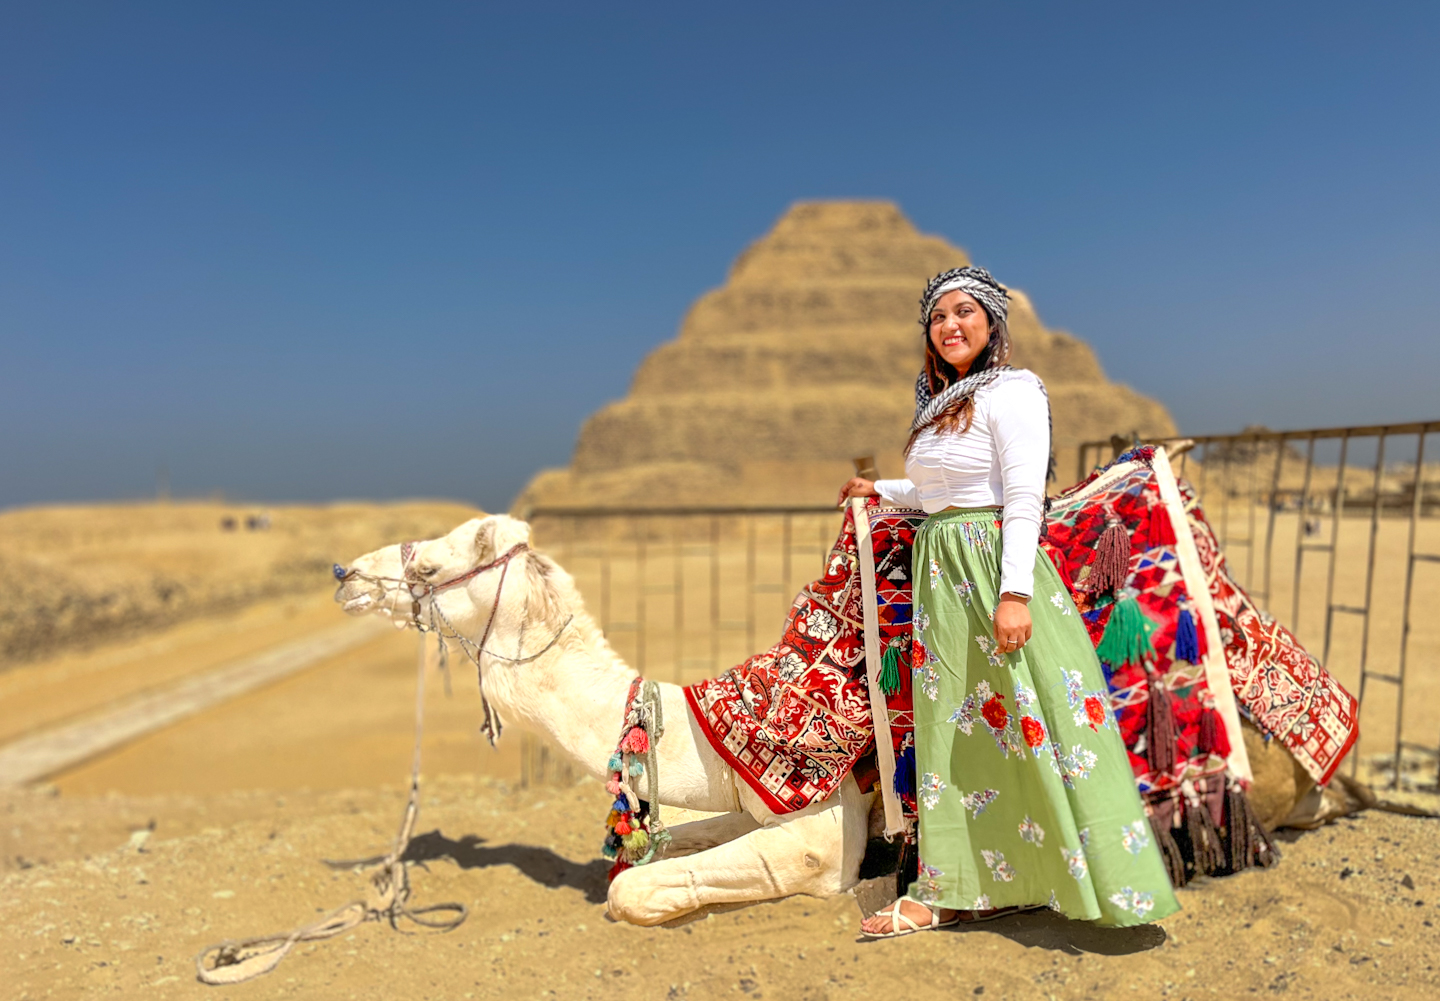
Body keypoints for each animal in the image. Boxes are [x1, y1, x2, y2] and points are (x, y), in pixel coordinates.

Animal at [334, 512, 1336, 927]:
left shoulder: (818, 825)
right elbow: (659, 846)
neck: (710, 720)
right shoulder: (745, 793)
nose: (345, 573)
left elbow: (636, 886)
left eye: (428, 566)